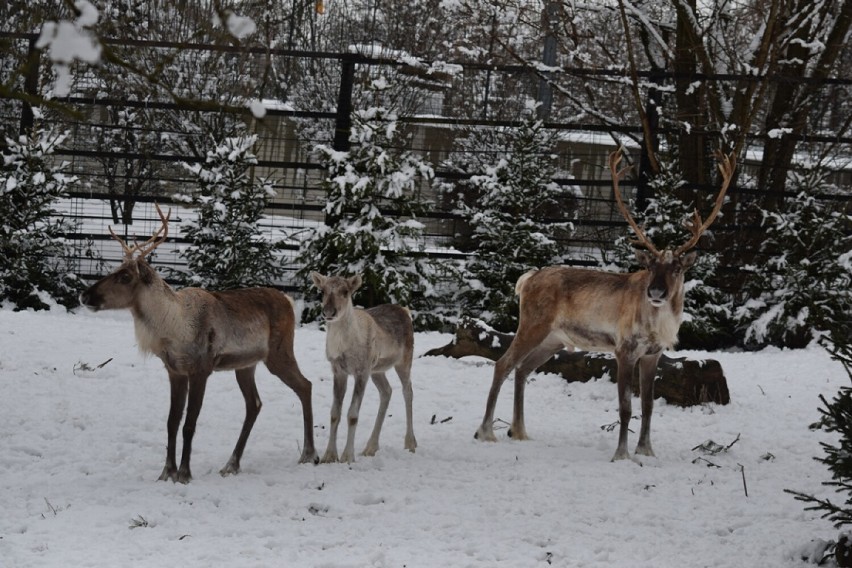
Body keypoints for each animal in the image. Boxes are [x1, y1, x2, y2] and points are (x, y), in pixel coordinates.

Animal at [80, 206, 318, 482]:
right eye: (116, 269)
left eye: (126, 276)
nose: (85, 295)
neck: (173, 329)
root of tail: (289, 301)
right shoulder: (175, 371)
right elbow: (171, 422)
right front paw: (166, 472)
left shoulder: (201, 370)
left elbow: (189, 424)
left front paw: (184, 473)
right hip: (245, 365)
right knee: (254, 404)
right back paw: (232, 464)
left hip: (279, 354)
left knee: (305, 385)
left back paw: (309, 454)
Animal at [312, 272, 420, 464]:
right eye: (322, 291)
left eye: (345, 291)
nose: (329, 312)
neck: (343, 345)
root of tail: (405, 311)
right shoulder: (339, 371)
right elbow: (334, 413)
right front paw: (329, 456)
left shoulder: (361, 371)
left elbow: (352, 414)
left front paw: (347, 456)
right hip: (377, 369)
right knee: (387, 391)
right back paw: (371, 447)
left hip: (404, 360)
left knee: (408, 391)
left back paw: (410, 443)